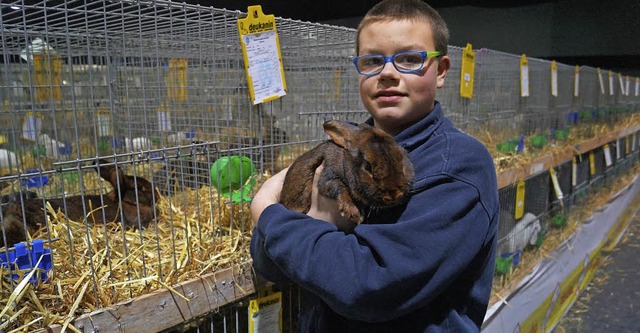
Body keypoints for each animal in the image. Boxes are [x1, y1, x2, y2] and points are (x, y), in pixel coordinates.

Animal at [280, 120, 416, 231]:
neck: (344, 159)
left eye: (402, 157)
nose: (394, 195)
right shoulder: (327, 178)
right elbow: (338, 186)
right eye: (367, 166)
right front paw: (353, 213)